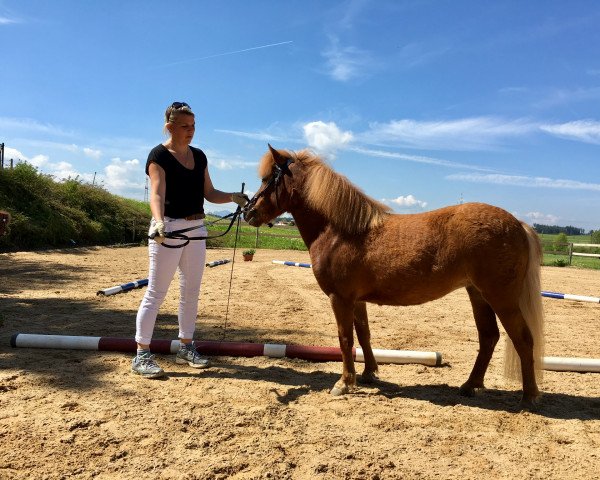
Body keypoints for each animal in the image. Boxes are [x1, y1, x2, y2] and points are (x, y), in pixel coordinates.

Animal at [246, 145, 548, 408]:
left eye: (267, 179)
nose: (249, 212)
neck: (340, 232)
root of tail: (518, 224)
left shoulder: (339, 298)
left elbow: (345, 339)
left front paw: (344, 383)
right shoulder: (356, 300)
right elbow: (363, 335)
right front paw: (368, 374)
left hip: (501, 298)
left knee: (523, 339)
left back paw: (529, 397)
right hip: (478, 295)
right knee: (488, 337)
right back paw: (470, 386)